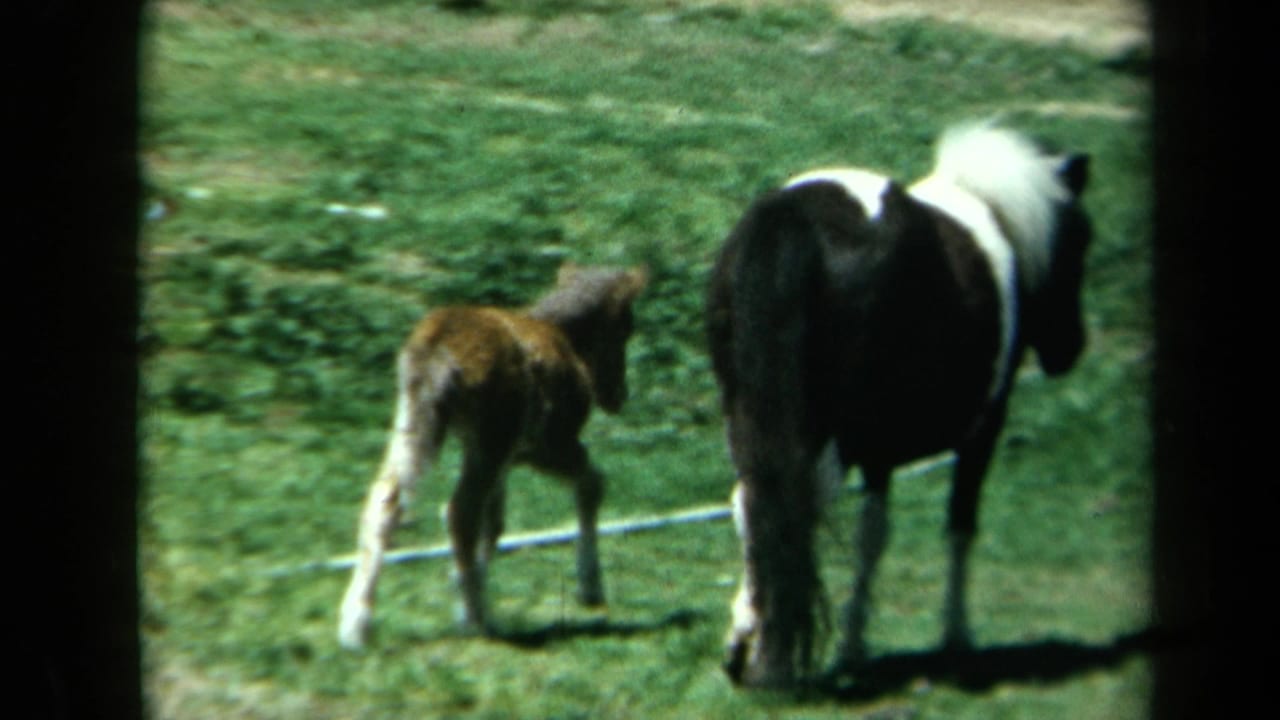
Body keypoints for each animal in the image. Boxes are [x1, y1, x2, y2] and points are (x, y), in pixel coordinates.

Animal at [338, 263, 648, 649]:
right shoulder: (544, 445)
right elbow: (592, 483)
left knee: (386, 499)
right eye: (626, 326)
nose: (618, 395)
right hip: (492, 439)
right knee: (459, 511)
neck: (565, 338)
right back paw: (472, 619)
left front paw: (466, 584)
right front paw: (590, 588)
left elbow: (496, 523)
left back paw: (357, 625)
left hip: (421, 423)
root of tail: (436, 346)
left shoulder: (503, 459)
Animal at [705, 122, 1092, 687]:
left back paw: (744, 647)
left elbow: (872, 533)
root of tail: (794, 219)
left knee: (755, 502)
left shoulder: (879, 450)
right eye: (1081, 240)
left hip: (750, 415)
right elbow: (952, 525)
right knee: (796, 503)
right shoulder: (979, 431)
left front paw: (854, 644)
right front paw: (950, 637)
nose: (1071, 351)